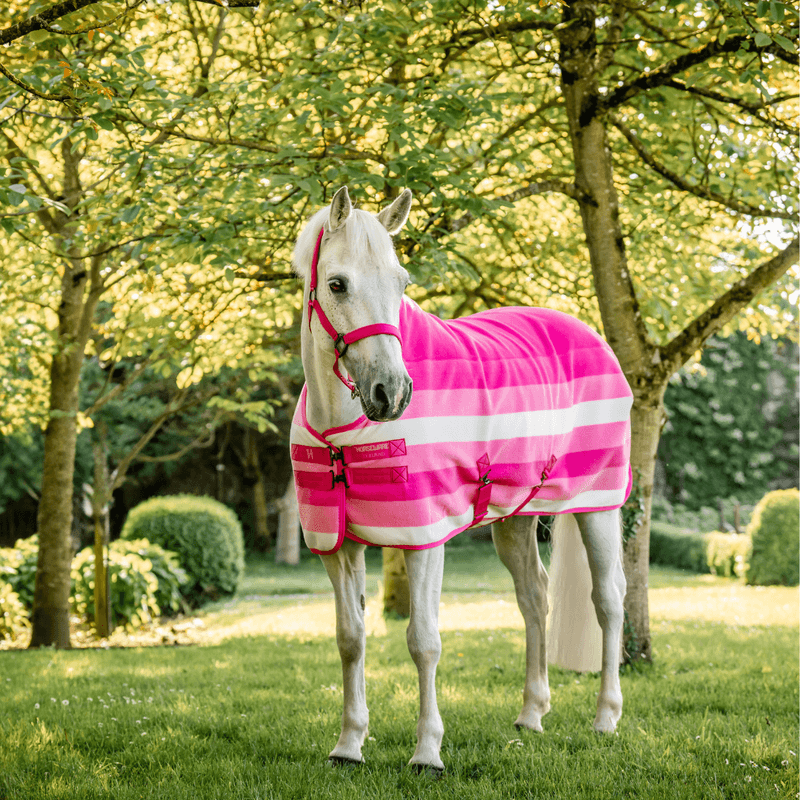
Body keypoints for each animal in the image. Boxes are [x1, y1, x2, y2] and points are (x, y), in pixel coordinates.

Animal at [289, 186, 632, 772]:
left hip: (599, 506)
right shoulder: (337, 545)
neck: (343, 431)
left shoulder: (423, 538)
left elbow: (423, 641)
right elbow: (350, 639)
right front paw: (349, 744)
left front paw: (427, 752)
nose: (392, 393)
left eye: (402, 282)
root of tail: (591, 333)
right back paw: (531, 713)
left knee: (609, 599)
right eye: (337, 284)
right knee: (534, 598)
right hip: (515, 519)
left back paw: (606, 716)